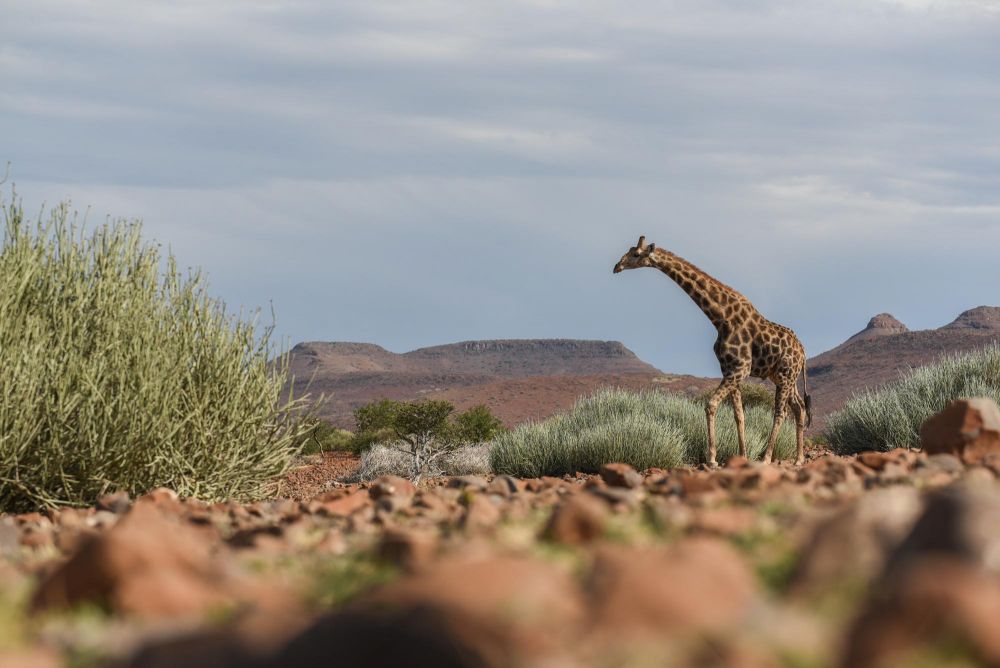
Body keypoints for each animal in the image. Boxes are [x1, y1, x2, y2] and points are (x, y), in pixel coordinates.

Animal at [608, 237, 812, 468]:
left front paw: (712, 459)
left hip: (786, 376)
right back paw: (798, 459)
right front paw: (742, 456)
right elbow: (739, 415)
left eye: (636, 254)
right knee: (799, 408)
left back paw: (767, 457)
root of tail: (803, 352)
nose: (617, 266)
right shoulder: (730, 370)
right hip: (783, 377)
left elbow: (711, 404)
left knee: (781, 412)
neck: (721, 318)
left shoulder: (740, 369)